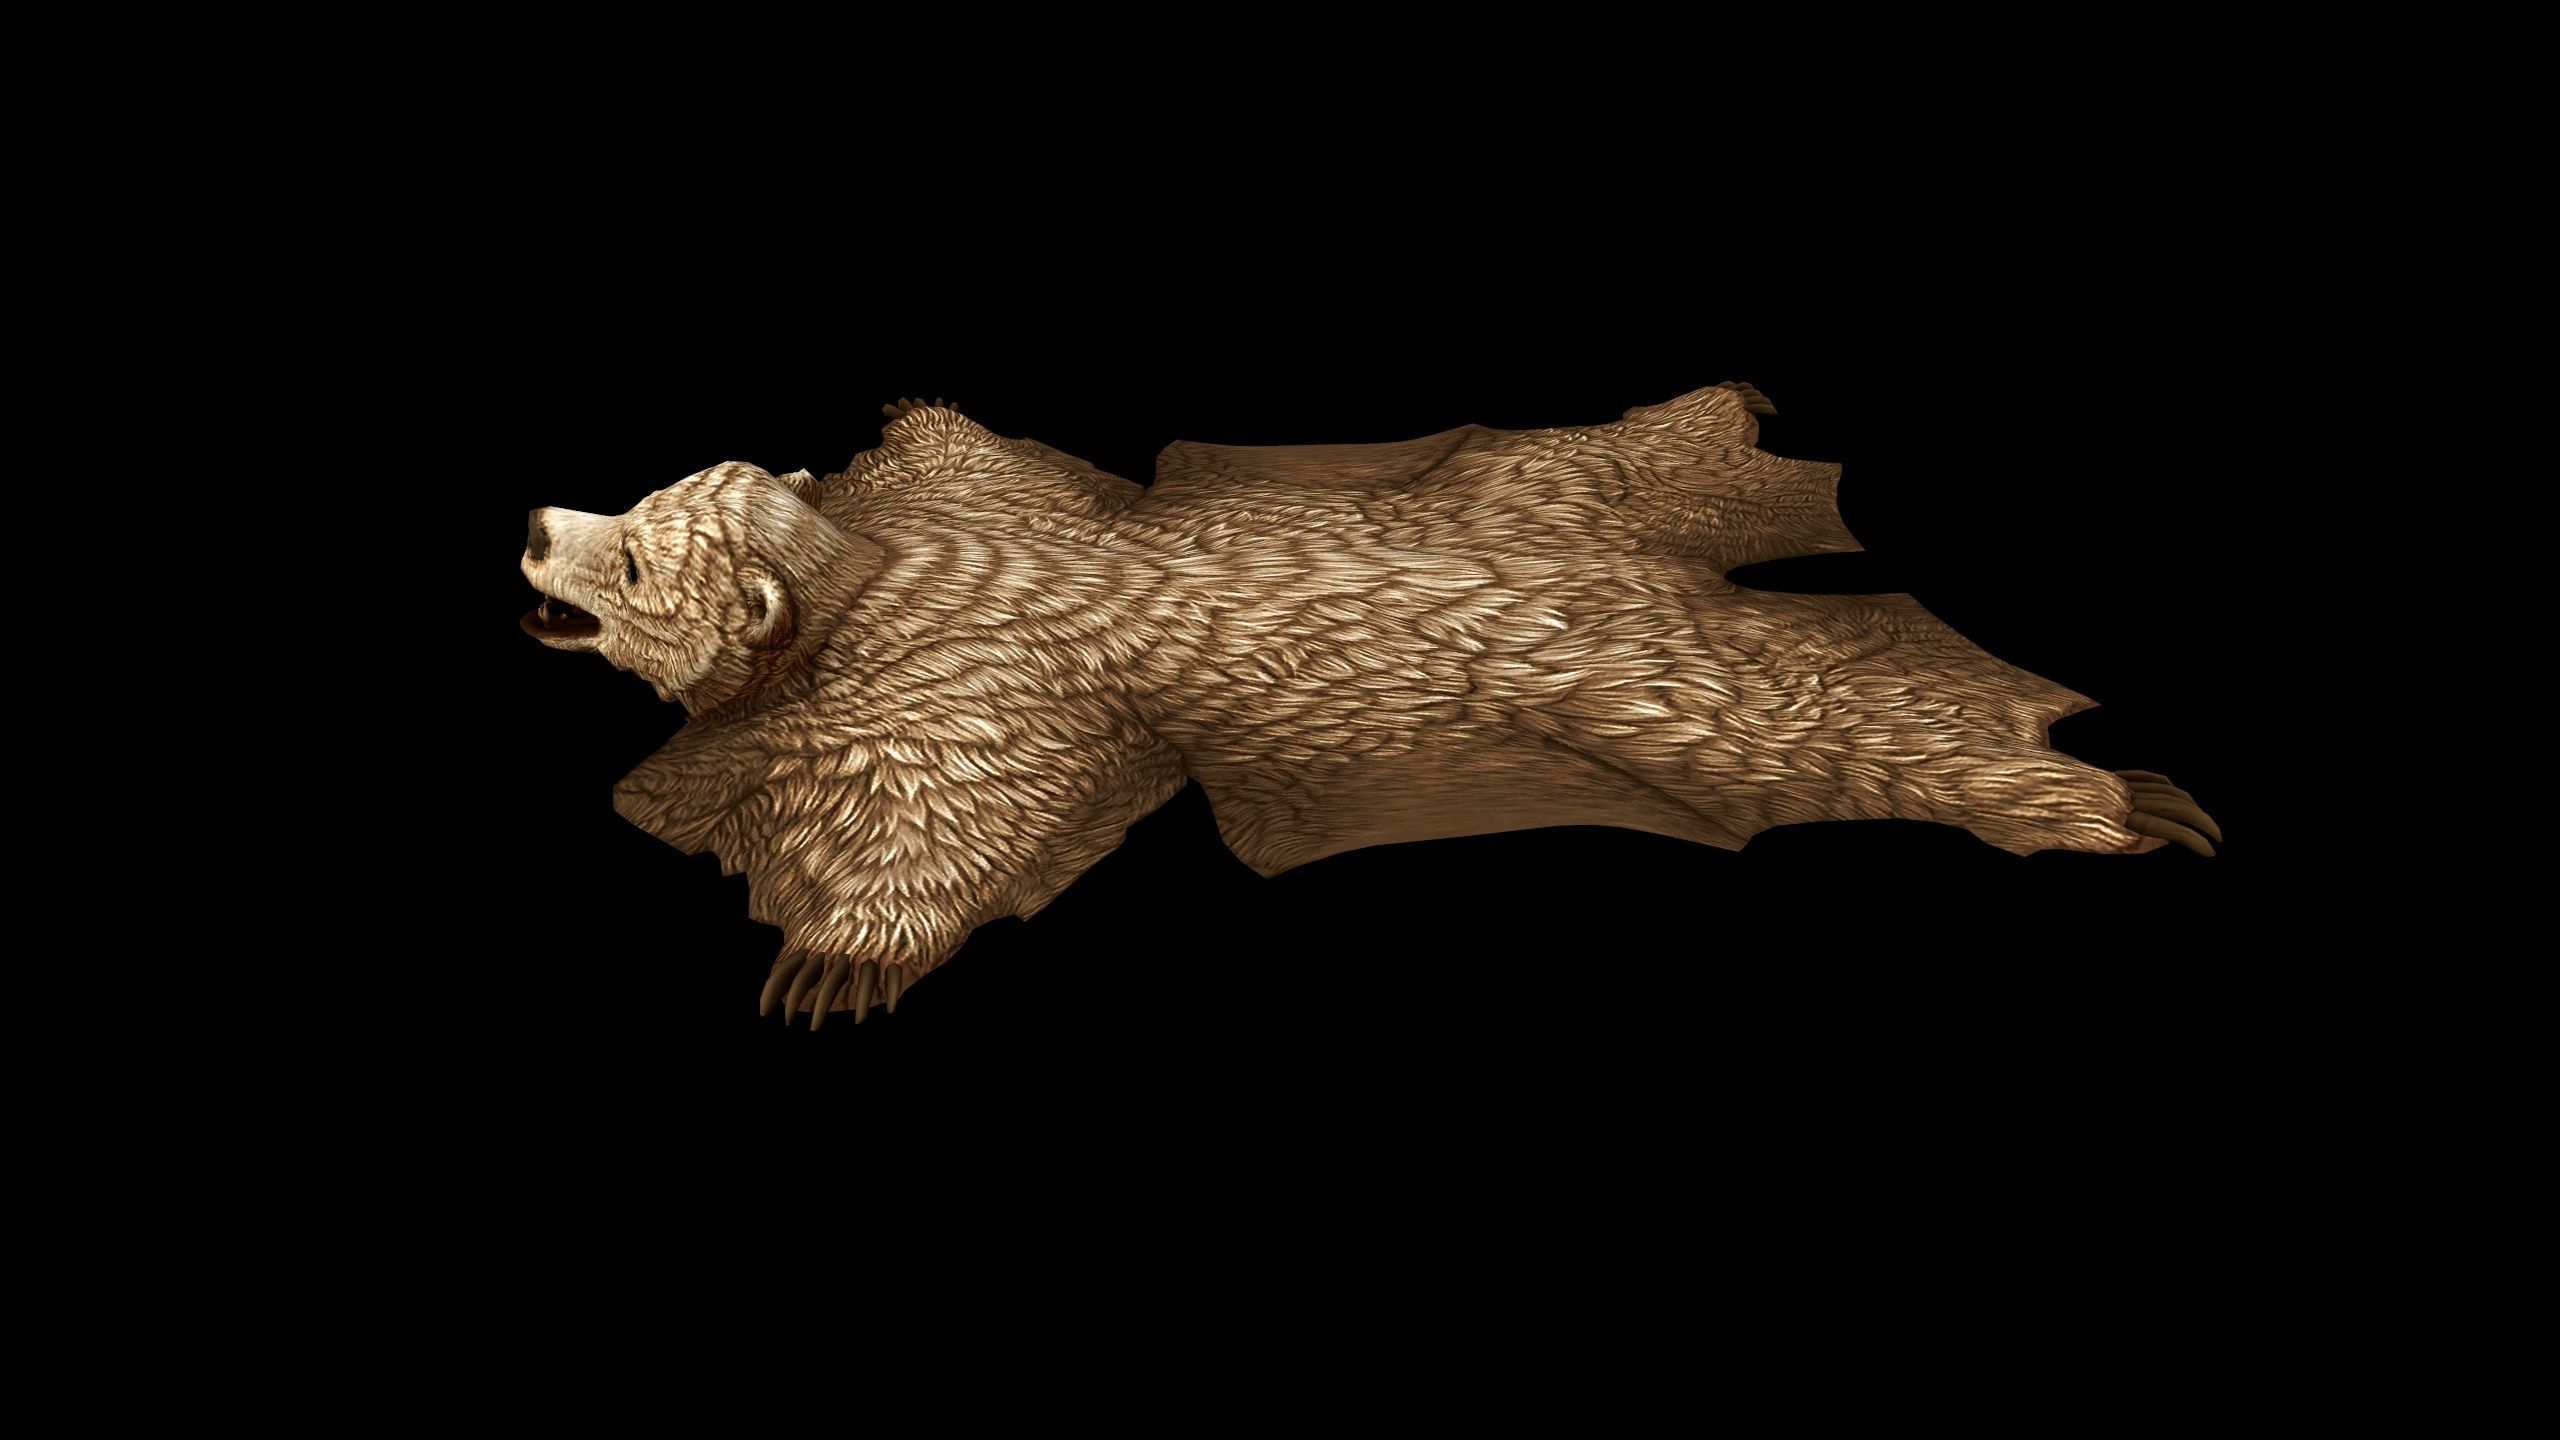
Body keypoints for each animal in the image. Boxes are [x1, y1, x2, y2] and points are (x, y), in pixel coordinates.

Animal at [520, 386, 2218, 1026]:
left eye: (637, 551)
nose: (539, 522)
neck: (857, 584)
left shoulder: (961, 693)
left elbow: (932, 818)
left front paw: (837, 954)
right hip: (1579, 506)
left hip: (1641, 676)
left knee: (1807, 716)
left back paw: (2106, 798)